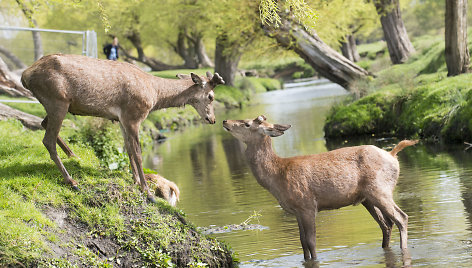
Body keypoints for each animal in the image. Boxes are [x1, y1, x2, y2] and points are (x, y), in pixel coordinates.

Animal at [23, 53, 226, 202]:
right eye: (211, 96)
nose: (212, 119)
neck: (155, 95)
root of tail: (25, 75)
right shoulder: (134, 116)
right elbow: (138, 152)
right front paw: (148, 192)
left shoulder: (121, 119)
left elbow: (127, 148)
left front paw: (135, 181)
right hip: (58, 100)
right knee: (47, 139)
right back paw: (71, 181)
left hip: (56, 104)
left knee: (43, 124)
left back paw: (74, 155)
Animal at [222, 115, 416, 260]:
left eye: (247, 123)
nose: (225, 121)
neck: (277, 178)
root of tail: (392, 154)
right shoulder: (296, 210)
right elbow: (302, 242)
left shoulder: (307, 204)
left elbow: (311, 241)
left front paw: (314, 259)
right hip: (367, 198)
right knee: (386, 224)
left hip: (380, 189)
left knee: (401, 217)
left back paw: (404, 249)